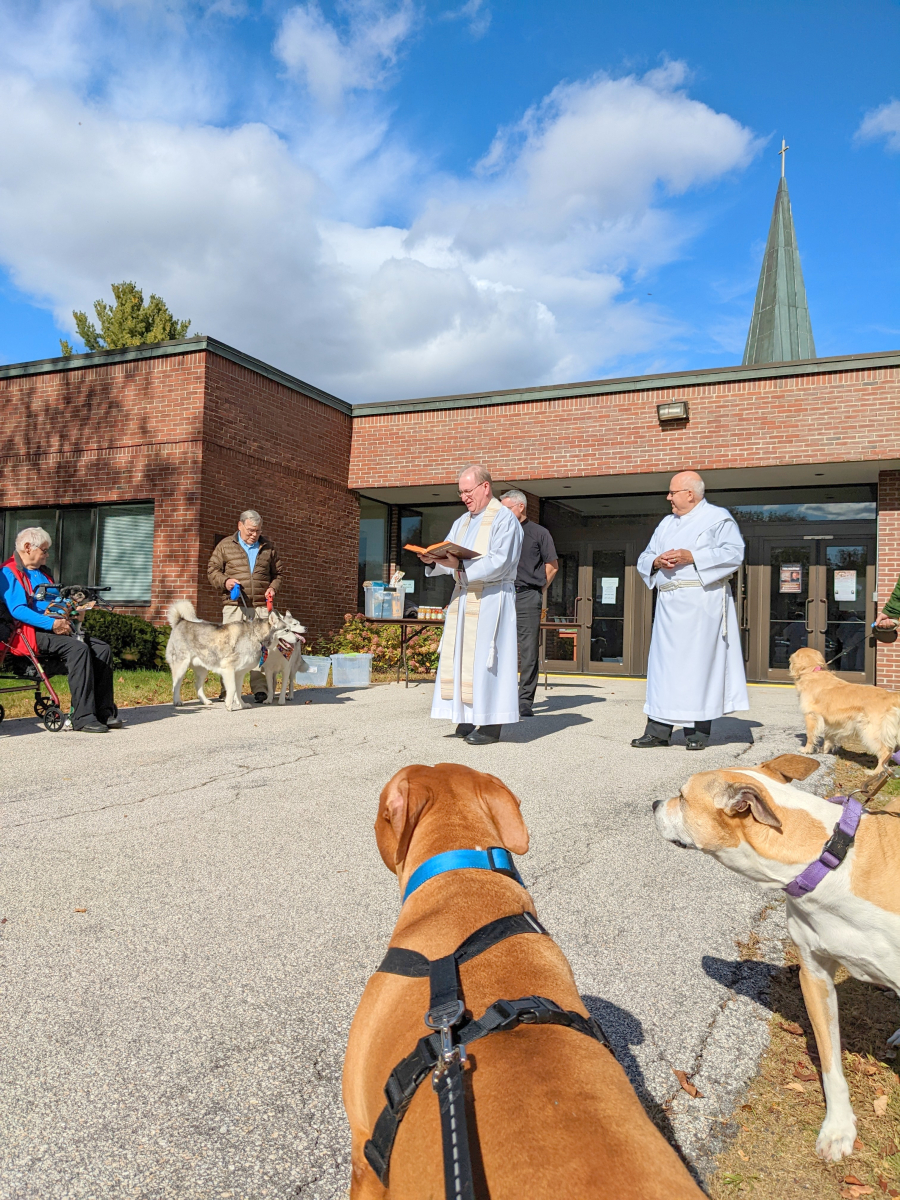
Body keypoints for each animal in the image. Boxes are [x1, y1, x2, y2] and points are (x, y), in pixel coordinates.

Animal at [657, 748, 900, 1161]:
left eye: (683, 796)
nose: (655, 804)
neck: (825, 861)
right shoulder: (815, 976)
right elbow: (830, 1064)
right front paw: (838, 1128)